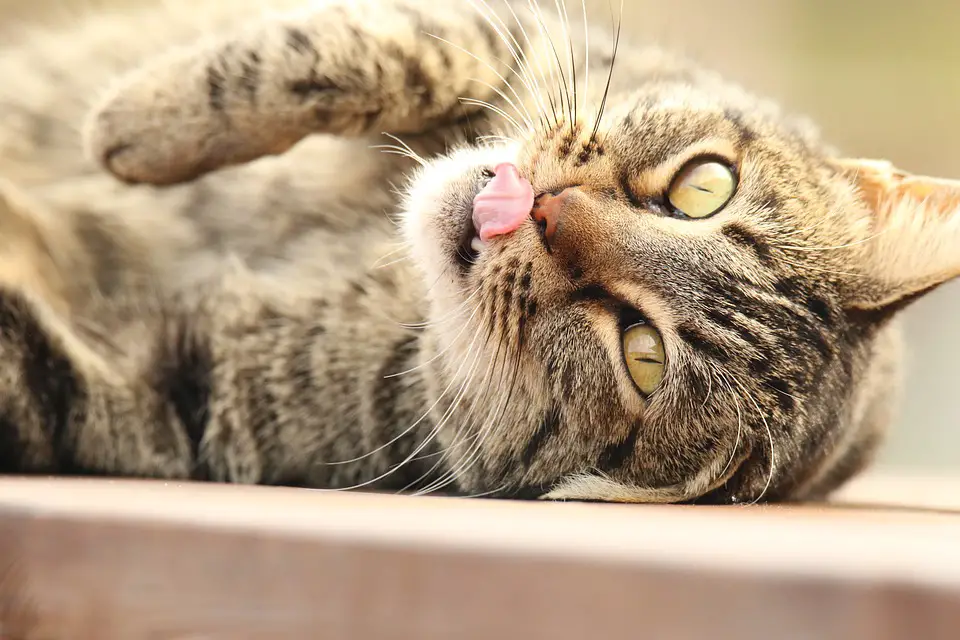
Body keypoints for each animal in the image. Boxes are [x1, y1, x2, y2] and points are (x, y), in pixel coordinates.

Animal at [1, 0, 960, 502]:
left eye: (641, 356)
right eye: (703, 189)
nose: (545, 210)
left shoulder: (172, 389)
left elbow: (31, 368)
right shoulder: (525, 36)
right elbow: (392, 48)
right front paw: (139, 121)